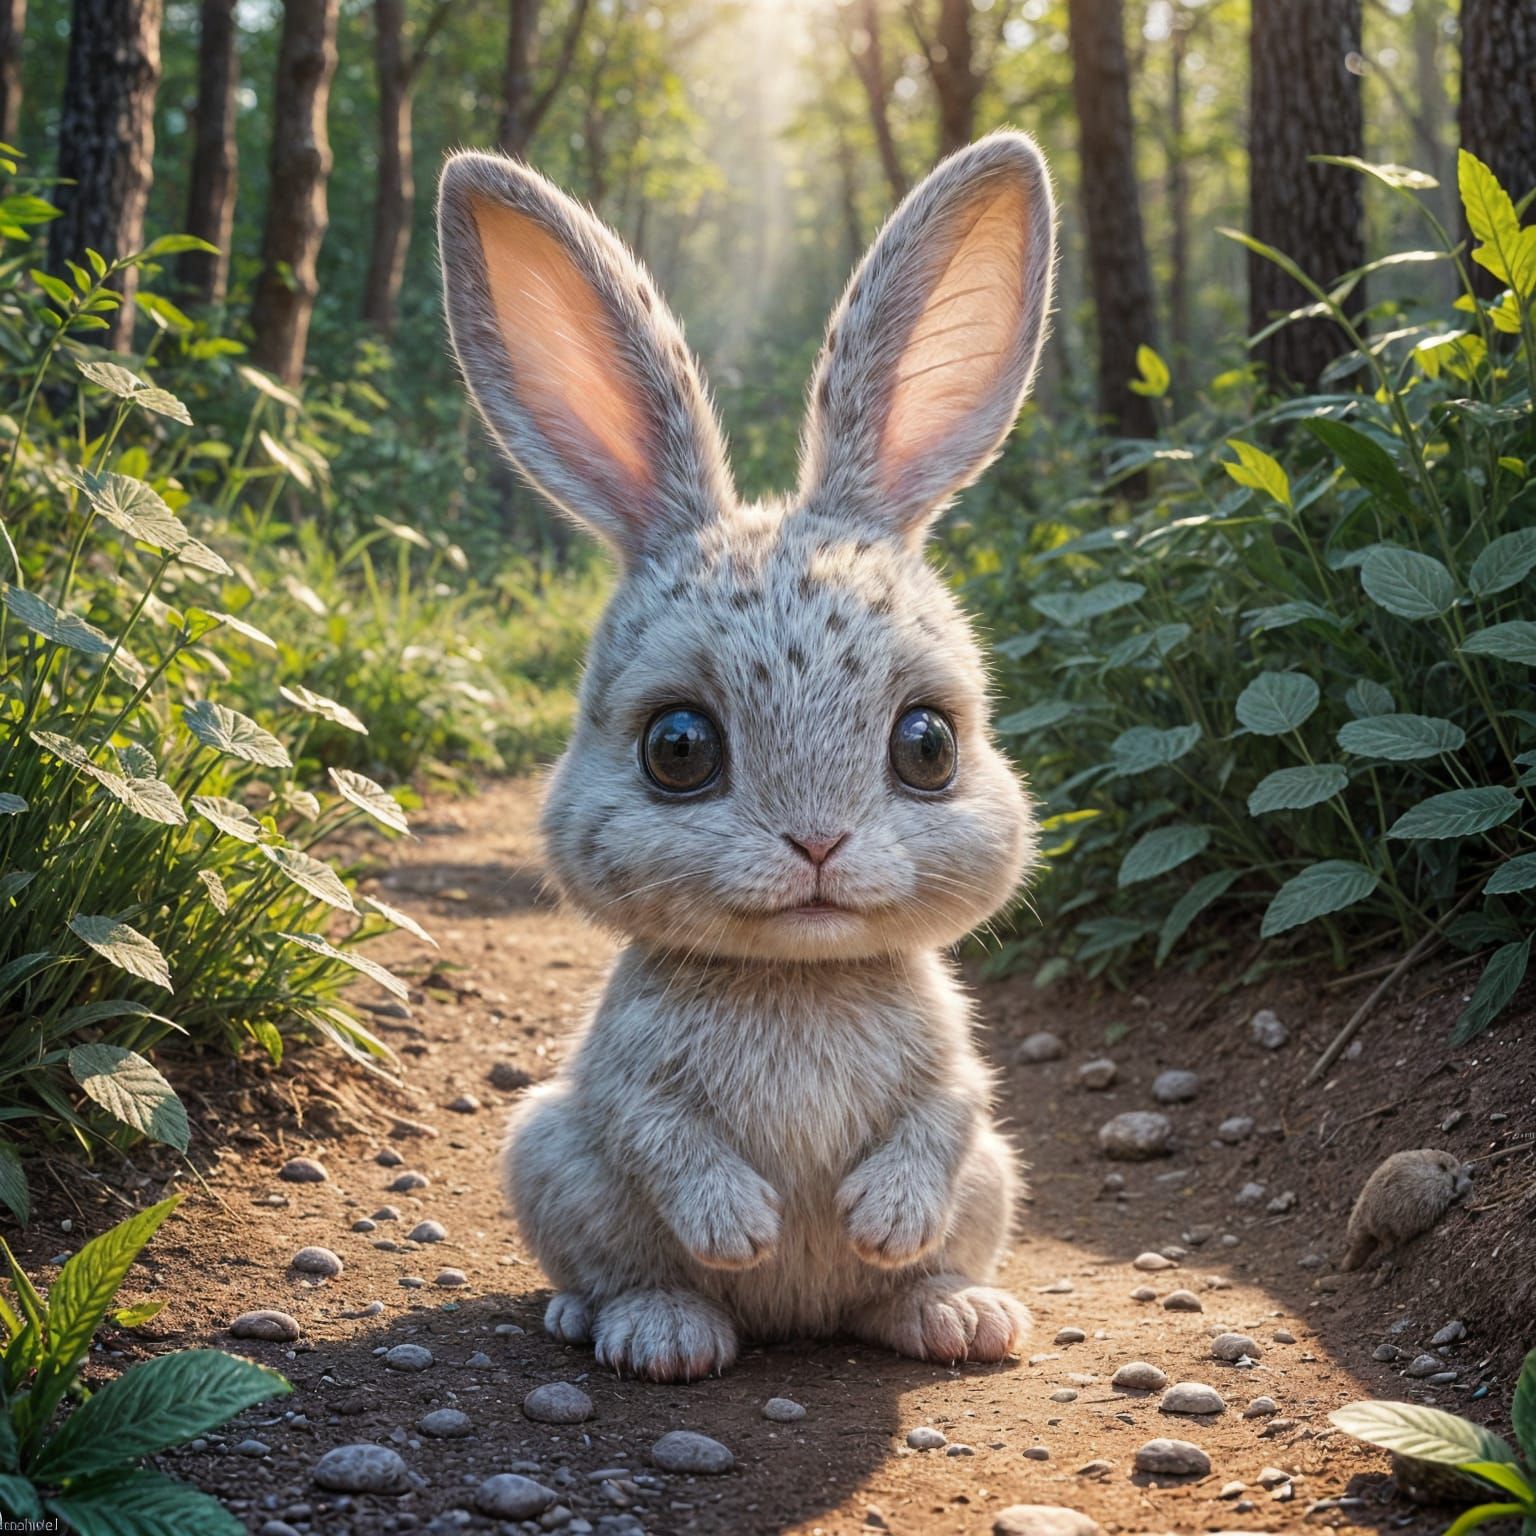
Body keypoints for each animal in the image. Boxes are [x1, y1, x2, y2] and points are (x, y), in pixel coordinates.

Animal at [437, 129, 1056, 1382]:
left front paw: (879, 1221)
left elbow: (951, 1105)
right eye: (677, 748)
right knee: (624, 1269)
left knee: (910, 1275)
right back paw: (655, 1330)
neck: (798, 977)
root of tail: (797, 1327)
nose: (816, 845)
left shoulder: (956, 1074)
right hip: (549, 1153)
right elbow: (660, 1131)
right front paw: (742, 1228)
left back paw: (953, 1313)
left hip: (993, 1183)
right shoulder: (626, 1084)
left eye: (928, 745)